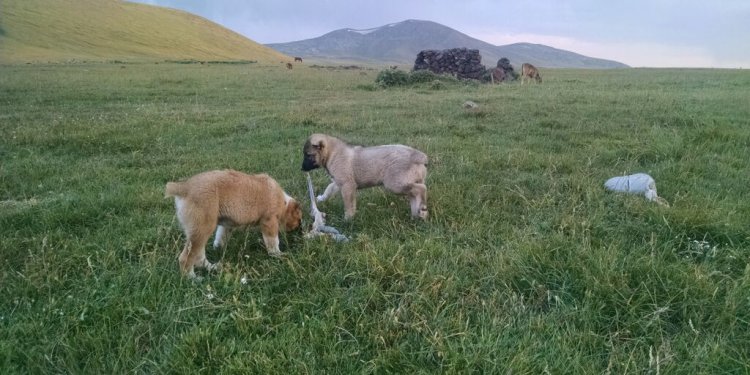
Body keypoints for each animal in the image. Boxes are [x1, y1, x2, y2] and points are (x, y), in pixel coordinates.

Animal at [166, 169, 302, 278]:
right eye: (299, 219)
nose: (299, 230)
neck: (283, 203)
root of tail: (184, 188)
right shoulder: (269, 222)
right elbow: (273, 242)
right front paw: (278, 255)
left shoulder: (226, 226)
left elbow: (220, 237)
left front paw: (218, 247)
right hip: (202, 229)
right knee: (186, 258)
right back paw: (192, 278)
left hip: (199, 232)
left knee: (199, 256)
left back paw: (211, 267)